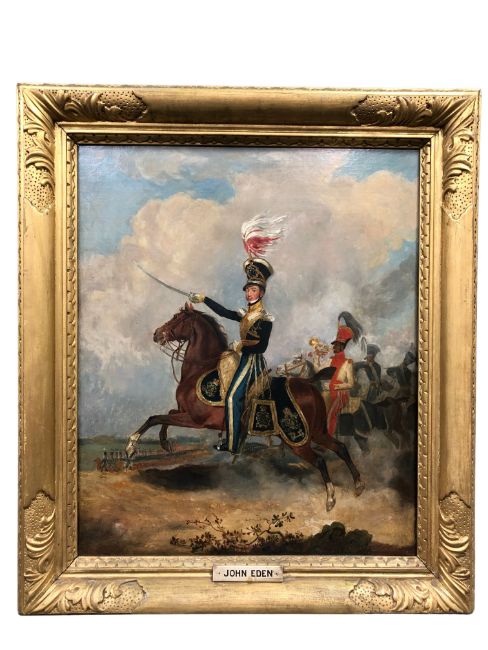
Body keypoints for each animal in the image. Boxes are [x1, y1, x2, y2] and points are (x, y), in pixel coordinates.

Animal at [125, 303, 365, 511]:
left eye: (177, 318)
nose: (157, 333)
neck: (202, 369)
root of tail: (309, 384)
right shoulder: (184, 412)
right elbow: (165, 415)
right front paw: (164, 442)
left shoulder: (195, 420)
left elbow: (155, 417)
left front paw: (131, 447)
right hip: (316, 432)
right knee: (341, 448)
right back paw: (358, 485)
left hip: (298, 439)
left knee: (320, 459)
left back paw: (331, 498)